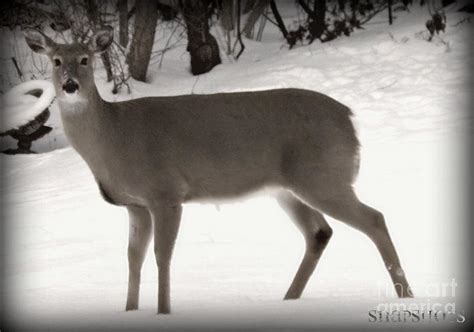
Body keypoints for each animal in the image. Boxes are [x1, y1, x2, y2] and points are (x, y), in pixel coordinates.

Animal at [24, 27, 412, 314]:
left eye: (85, 59)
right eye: (56, 61)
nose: (70, 85)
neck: (114, 138)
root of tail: (349, 118)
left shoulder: (165, 191)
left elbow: (162, 256)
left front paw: (163, 312)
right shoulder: (135, 204)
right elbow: (133, 258)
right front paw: (129, 311)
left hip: (323, 175)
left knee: (374, 218)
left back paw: (406, 295)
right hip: (288, 188)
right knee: (319, 232)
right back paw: (288, 300)